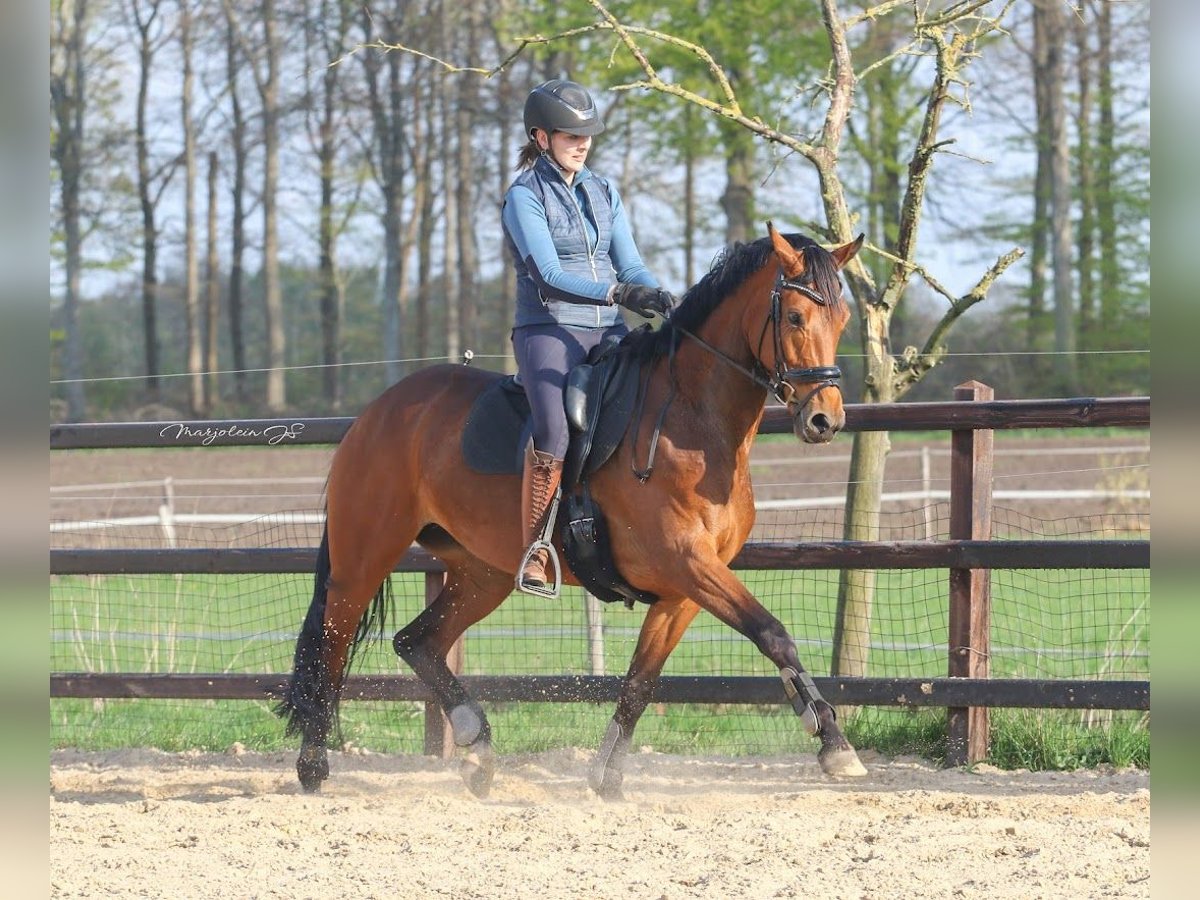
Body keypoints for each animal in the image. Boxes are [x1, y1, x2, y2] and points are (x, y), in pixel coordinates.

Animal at [277, 222, 868, 801]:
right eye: (794, 316)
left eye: (842, 319)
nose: (825, 420)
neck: (692, 422)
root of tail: (378, 410)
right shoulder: (689, 564)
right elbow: (773, 633)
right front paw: (833, 742)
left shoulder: (682, 591)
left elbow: (640, 684)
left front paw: (607, 779)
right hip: (364, 558)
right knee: (331, 647)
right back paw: (313, 765)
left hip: (483, 574)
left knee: (416, 642)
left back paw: (477, 748)